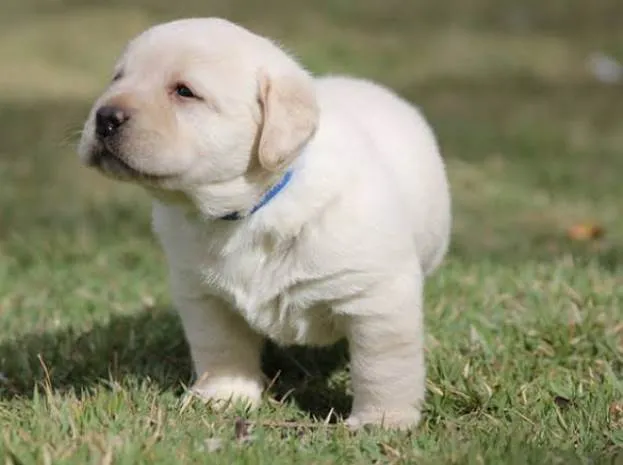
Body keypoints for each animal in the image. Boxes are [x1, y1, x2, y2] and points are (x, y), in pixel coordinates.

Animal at [79, 19, 454, 432]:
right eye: (118, 77)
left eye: (184, 91)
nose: (105, 117)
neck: (248, 211)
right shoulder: (204, 296)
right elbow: (221, 348)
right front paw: (224, 396)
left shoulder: (377, 297)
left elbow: (383, 367)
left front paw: (381, 422)